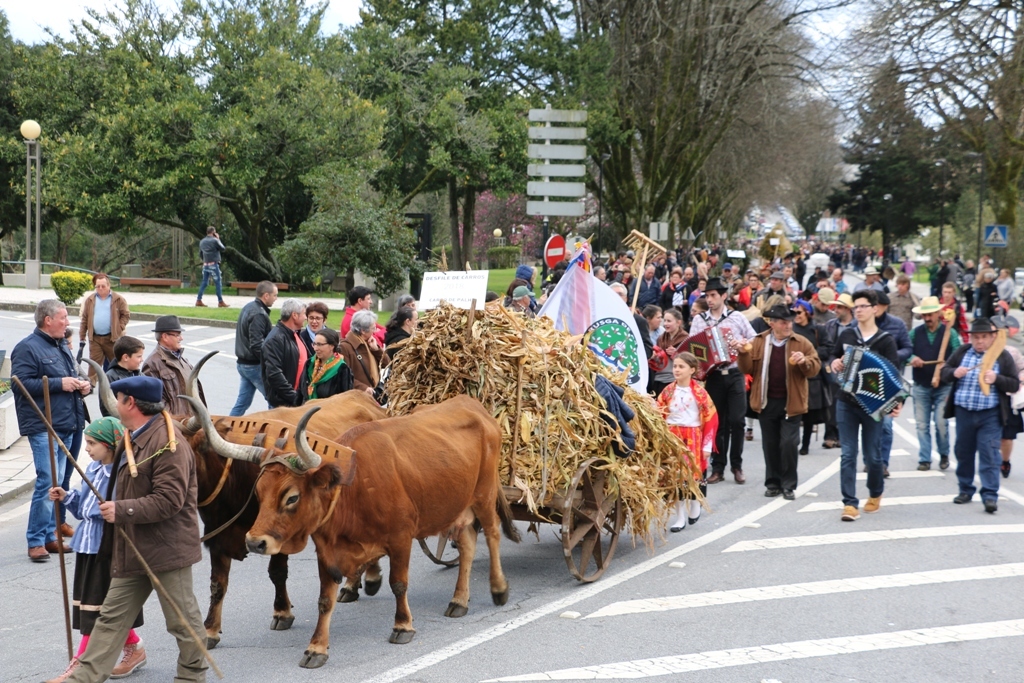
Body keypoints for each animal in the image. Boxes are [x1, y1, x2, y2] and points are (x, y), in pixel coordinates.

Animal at [90, 354, 386, 648]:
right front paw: (210, 630)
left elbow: (276, 572)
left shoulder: (277, 531)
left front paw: (282, 612)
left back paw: (365, 580)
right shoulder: (217, 537)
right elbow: (217, 584)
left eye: (181, 447)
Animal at [195, 394, 520, 668]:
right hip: (459, 507)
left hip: (484, 496)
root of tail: (472, 405)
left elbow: (399, 584)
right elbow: (325, 600)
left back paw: (499, 588)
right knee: (467, 544)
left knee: (492, 535)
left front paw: (402, 626)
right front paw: (316, 648)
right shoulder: (326, 551)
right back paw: (458, 601)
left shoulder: (401, 539)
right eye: (259, 493)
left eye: (291, 497)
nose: (255, 542)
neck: (353, 490)